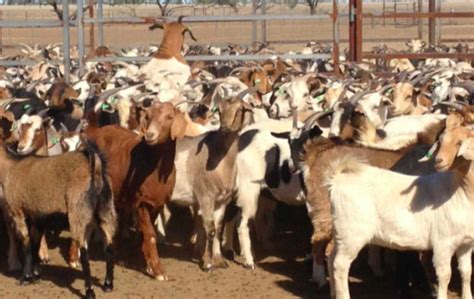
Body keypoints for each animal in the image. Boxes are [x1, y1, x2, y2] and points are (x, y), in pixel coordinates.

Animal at [1, 141, 116, 299]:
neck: (10, 165)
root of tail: (96, 168)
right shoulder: (38, 216)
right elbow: (36, 243)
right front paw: (36, 275)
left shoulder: (17, 211)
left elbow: (26, 244)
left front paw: (26, 278)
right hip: (105, 212)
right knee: (109, 248)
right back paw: (108, 285)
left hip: (78, 213)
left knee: (84, 253)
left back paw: (90, 291)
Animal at [328, 124, 474, 299]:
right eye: (440, 141)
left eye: (460, 142)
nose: (439, 161)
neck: (458, 190)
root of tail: (338, 180)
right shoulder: (443, 243)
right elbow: (445, 275)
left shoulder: (466, 244)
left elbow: (466, 272)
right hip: (352, 232)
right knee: (340, 265)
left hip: (341, 232)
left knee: (331, 258)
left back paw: (332, 293)